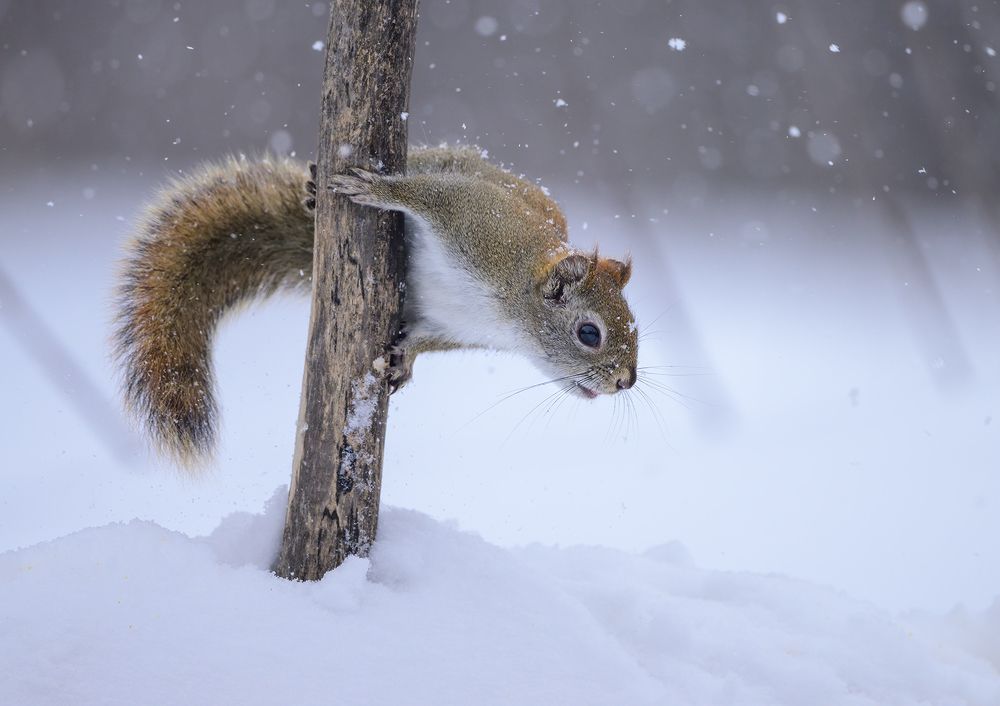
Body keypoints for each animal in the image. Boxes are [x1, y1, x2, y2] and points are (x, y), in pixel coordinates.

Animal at [114, 146, 638, 466]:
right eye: (589, 333)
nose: (625, 382)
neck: (508, 310)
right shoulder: (477, 223)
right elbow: (426, 194)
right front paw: (377, 190)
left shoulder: (454, 326)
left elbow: (424, 342)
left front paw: (404, 362)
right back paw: (314, 193)